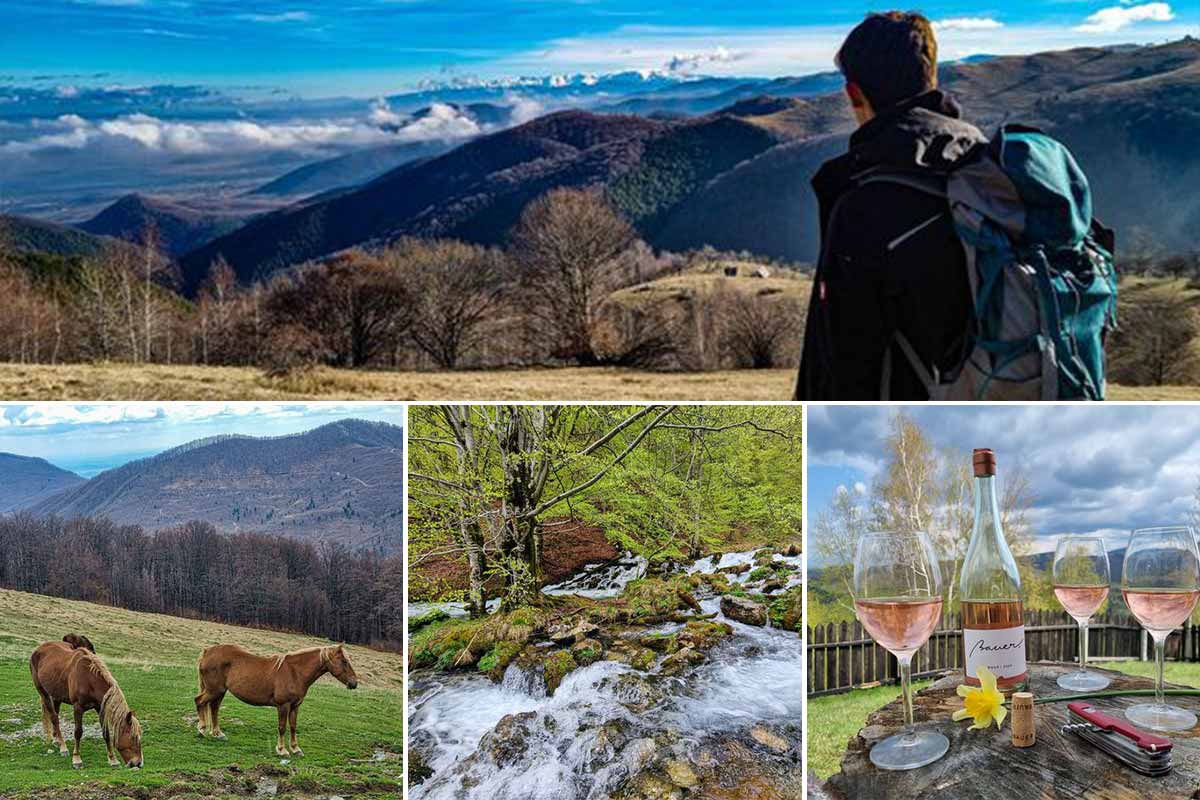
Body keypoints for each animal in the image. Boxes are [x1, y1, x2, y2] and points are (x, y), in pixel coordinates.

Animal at [28, 638, 142, 767]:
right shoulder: (78, 708)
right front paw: (77, 759)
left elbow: (106, 733)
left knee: (55, 714)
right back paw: (63, 747)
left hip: (56, 695)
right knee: (54, 718)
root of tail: (39, 649)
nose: (139, 763)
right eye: (133, 737)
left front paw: (113, 760)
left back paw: (56, 739)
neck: (89, 680)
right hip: (44, 693)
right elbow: (78, 732)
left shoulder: (100, 708)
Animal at [194, 642, 355, 758]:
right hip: (213, 690)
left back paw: (218, 734)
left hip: (220, 691)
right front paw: (282, 750)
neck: (295, 672)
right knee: (199, 702)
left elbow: (293, 727)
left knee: (214, 709)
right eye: (344, 661)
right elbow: (282, 727)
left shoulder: (295, 706)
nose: (354, 683)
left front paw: (296, 749)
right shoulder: (283, 705)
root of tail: (208, 652)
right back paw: (201, 730)